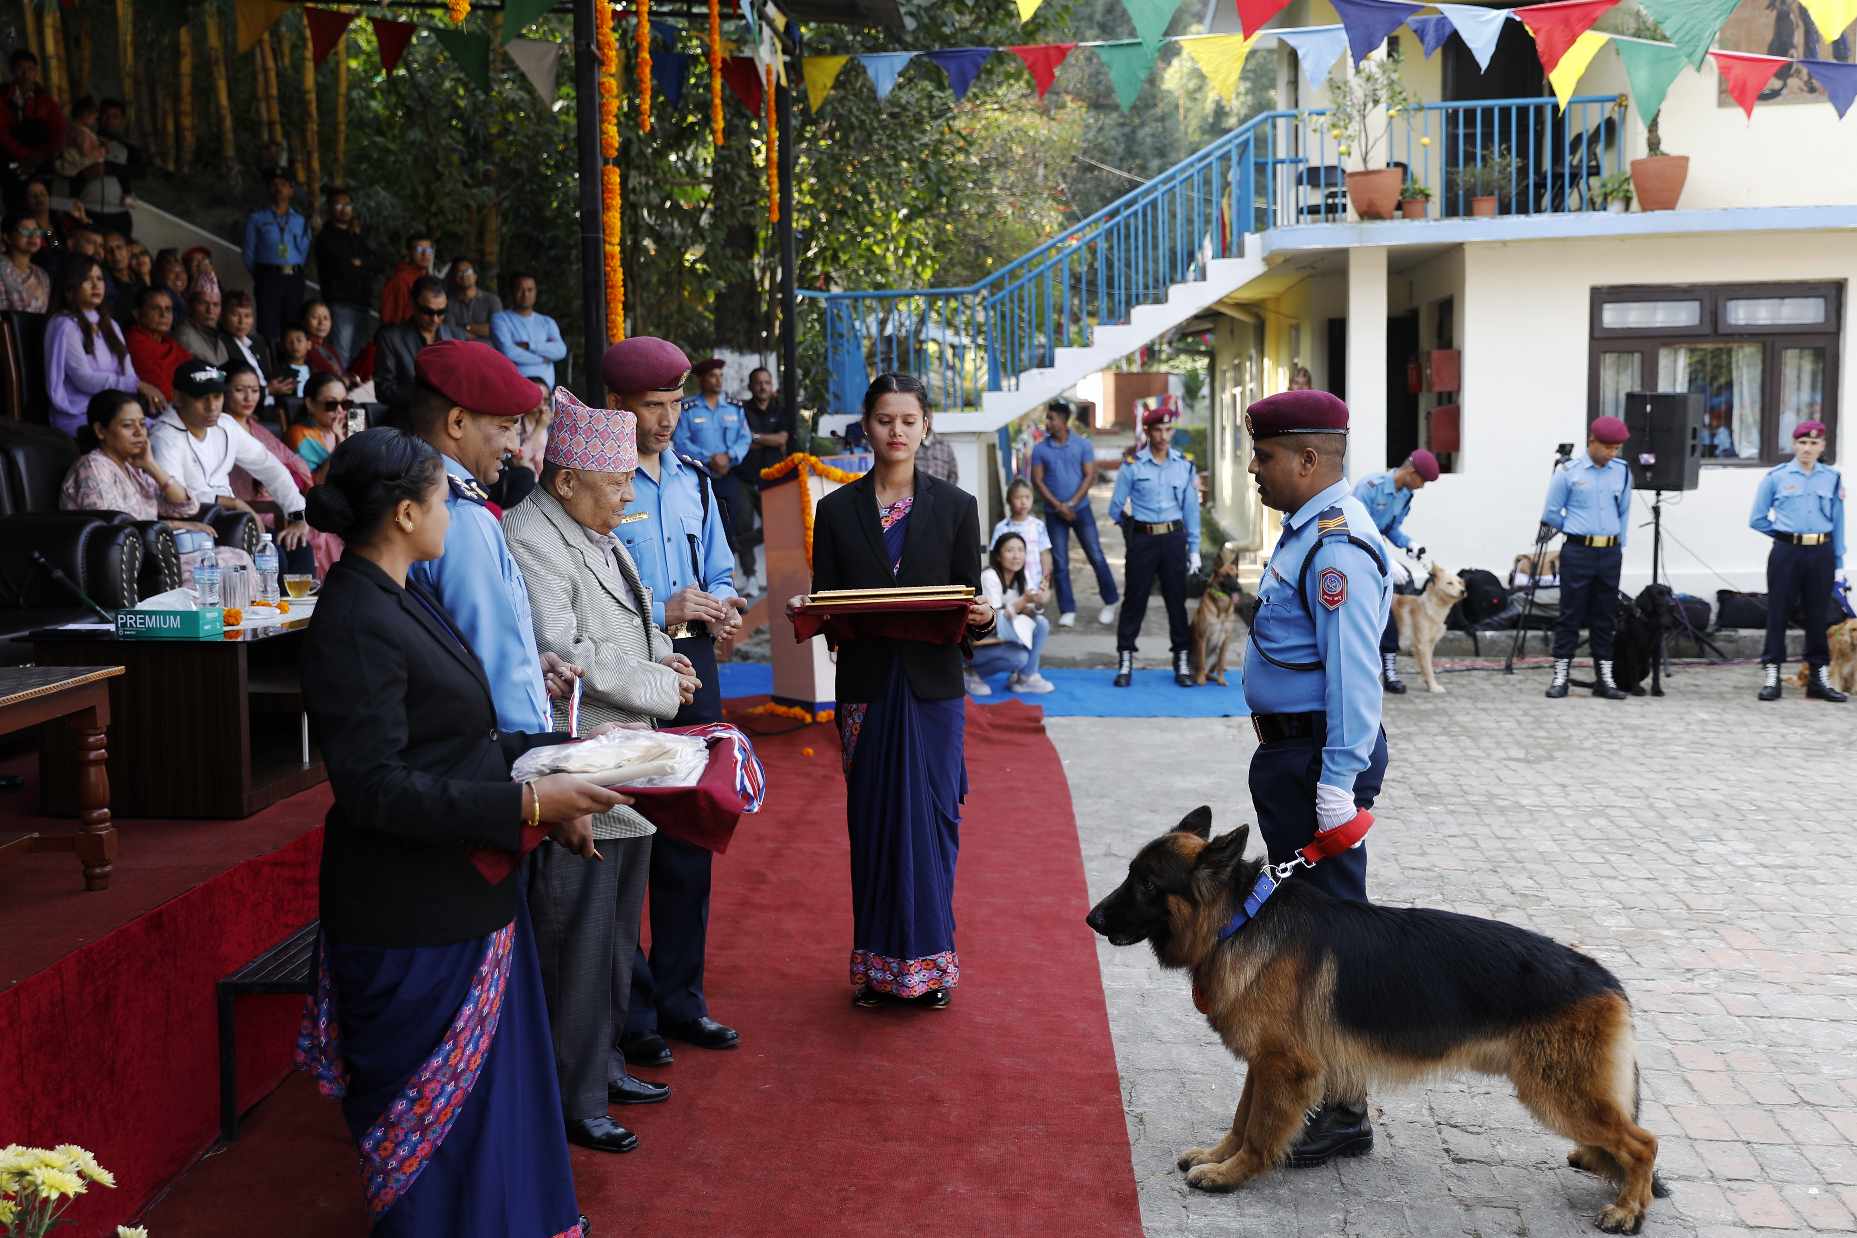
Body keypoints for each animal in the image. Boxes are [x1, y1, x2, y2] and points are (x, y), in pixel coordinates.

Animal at [1084, 809, 1663, 1232]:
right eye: (1131, 875)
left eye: (1147, 884)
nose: (1090, 918)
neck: (1239, 920)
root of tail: (1605, 979)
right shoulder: (1265, 1064)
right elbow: (1242, 1118)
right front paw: (1219, 1155)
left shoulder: (1283, 1067)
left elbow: (1260, 1130)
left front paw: (1231, 1175)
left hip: (1555, 1092)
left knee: (1644, 1143)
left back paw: (1627, 1210)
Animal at [1396, 564, 1463, 694]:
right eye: (1449, 583)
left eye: (1459, 583)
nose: (1463, 591)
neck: (1429, 607)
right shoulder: (1422, 645)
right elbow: (1428, 668)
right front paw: (1434, 687)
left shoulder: (1430, 644)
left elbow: (1426, 667)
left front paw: (1428, 684)